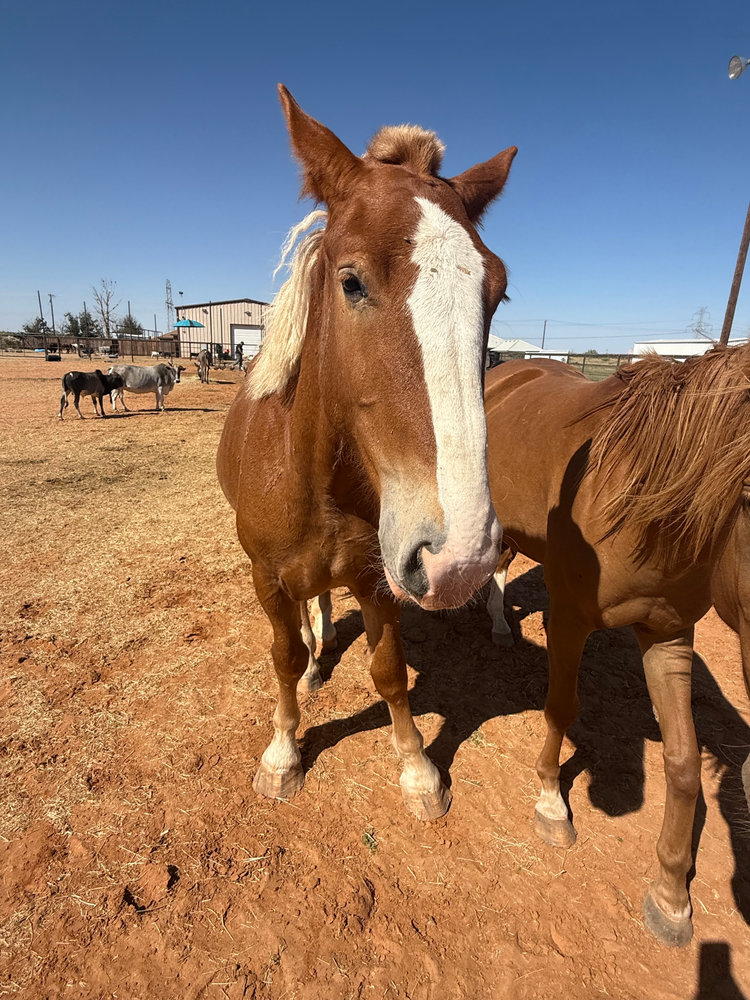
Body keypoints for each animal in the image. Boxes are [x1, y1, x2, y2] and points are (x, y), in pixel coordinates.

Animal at [217, 85, 517, 821]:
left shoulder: (380, 579)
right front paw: (282, 755)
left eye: (496, 292)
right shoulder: (266, 578)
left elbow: (389, 671)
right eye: (350, 282)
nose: (461, 558)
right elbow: (282, 658)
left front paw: (418, 771)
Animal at [482, 348, 750, 946]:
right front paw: (551, 803)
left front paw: (671, 896)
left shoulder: (668, 634)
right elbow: (561, 708)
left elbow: (682, 761)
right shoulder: (569, 618)